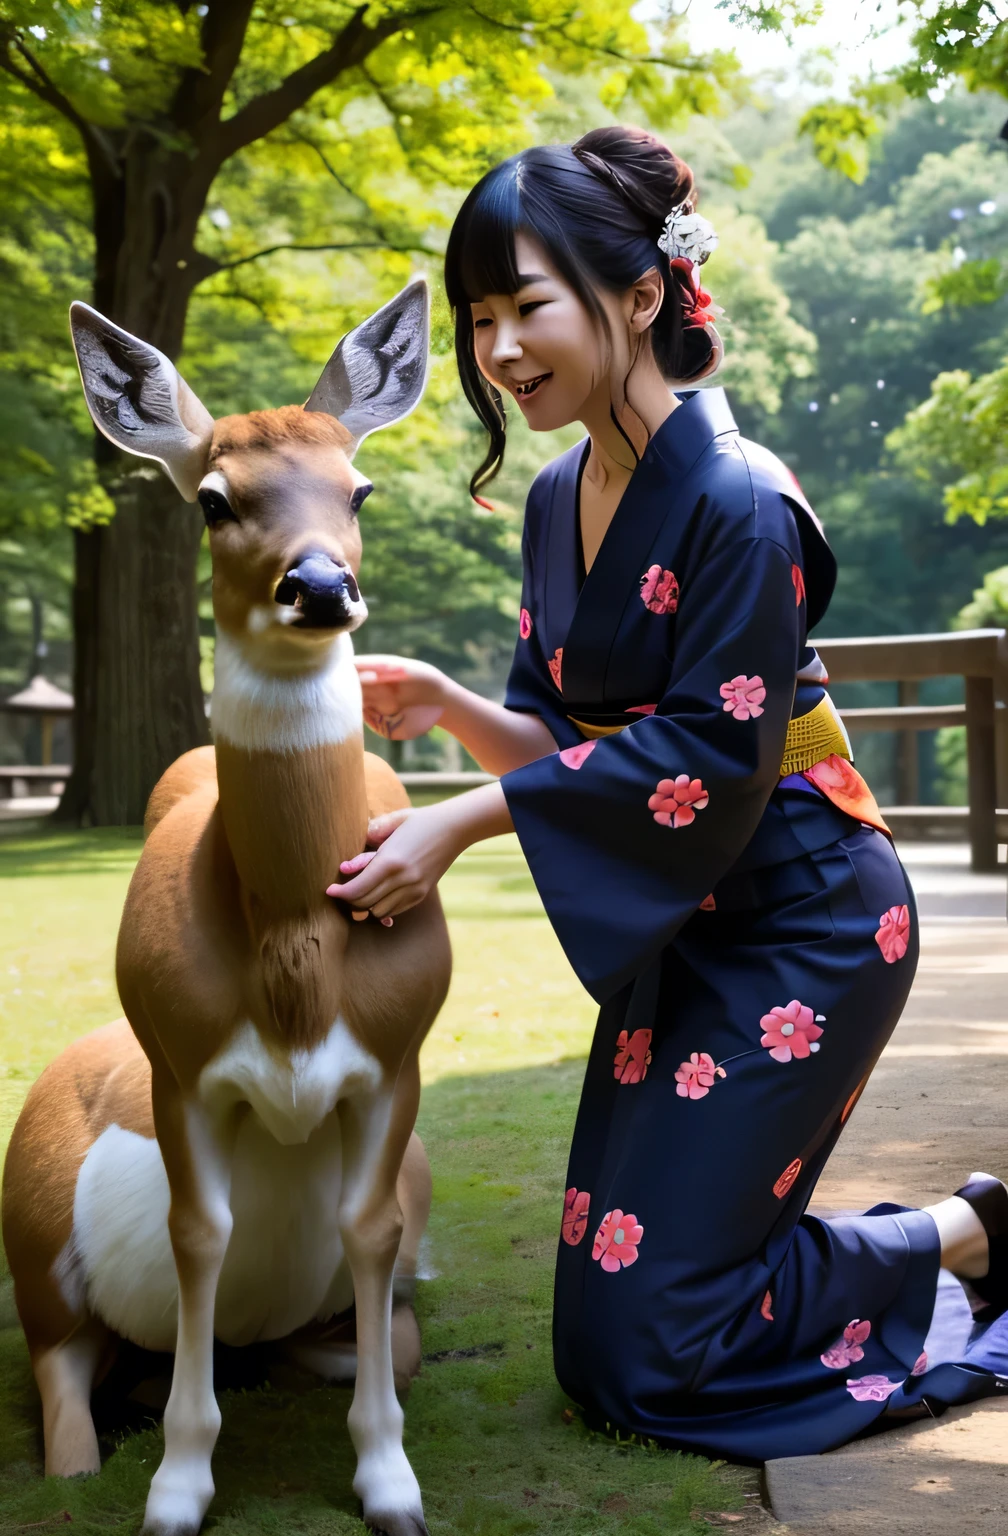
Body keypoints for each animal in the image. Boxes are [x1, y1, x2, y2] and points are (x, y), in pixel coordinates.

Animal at [0, 278, 452, 1536]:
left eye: (358, 486)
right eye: (212, 498)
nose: (321, 585)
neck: (295, 955)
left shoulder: (395, 1064)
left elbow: (369, 1239)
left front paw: (390, 1482)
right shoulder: (180, 1063)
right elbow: (197, 1234)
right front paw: (176, 1488)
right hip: (32, 1224)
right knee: (59, 1371)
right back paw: (99, 1447)